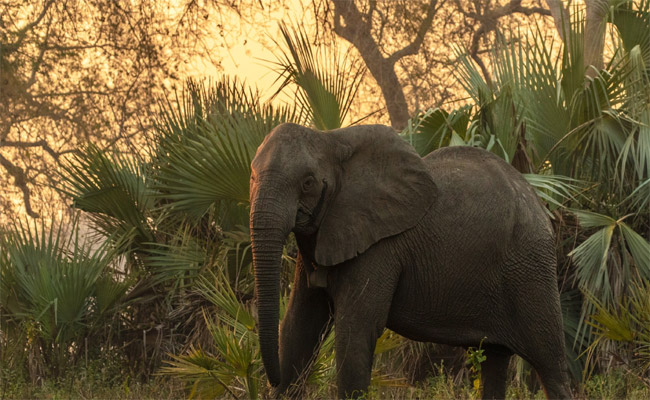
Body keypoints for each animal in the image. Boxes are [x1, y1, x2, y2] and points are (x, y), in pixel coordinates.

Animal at [249, 122, 572, 399]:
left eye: (307, 183)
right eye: (251, 177)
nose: (270, 379)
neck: (331, 139)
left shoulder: (380, 246)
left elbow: (356, 331)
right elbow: (298, 328)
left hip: (530, 268)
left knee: (551, 364)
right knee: (495, 359)